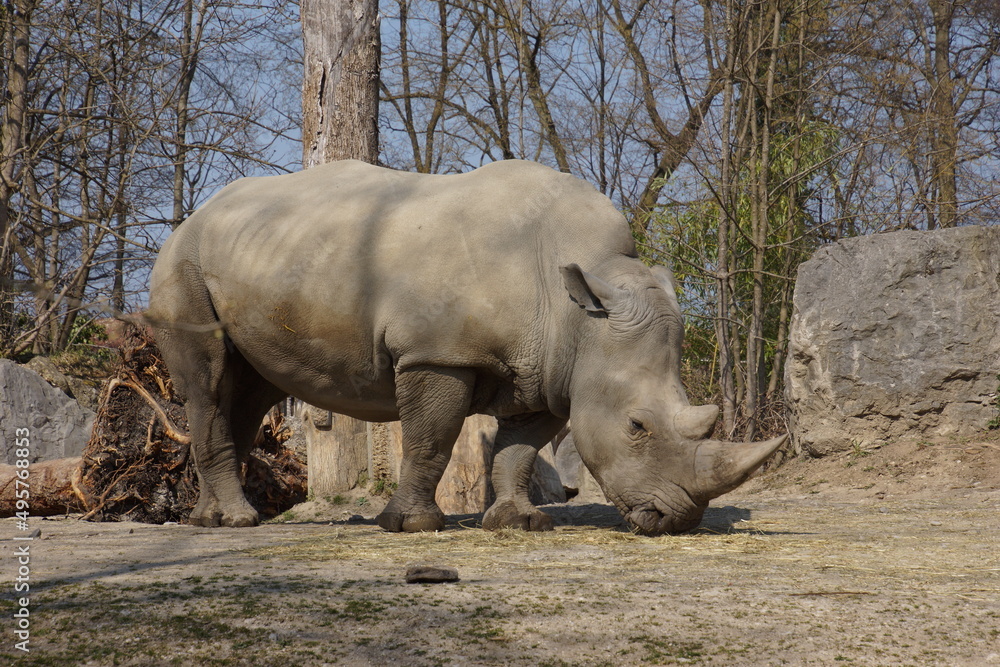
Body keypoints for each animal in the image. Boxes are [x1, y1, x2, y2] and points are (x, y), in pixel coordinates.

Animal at [148, 159, 784, 535]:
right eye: (636, 427)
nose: (678, 519)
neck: (577, 310)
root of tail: (193, 217)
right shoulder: (438, 353)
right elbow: (432, 439)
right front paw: (412, 527)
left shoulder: (550, 370)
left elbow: (519, 449)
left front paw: (517, 524)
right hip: (182, 264)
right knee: (207, 381)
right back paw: (236, 523)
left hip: (257, 255)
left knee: (250, 389)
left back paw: (211, 520)